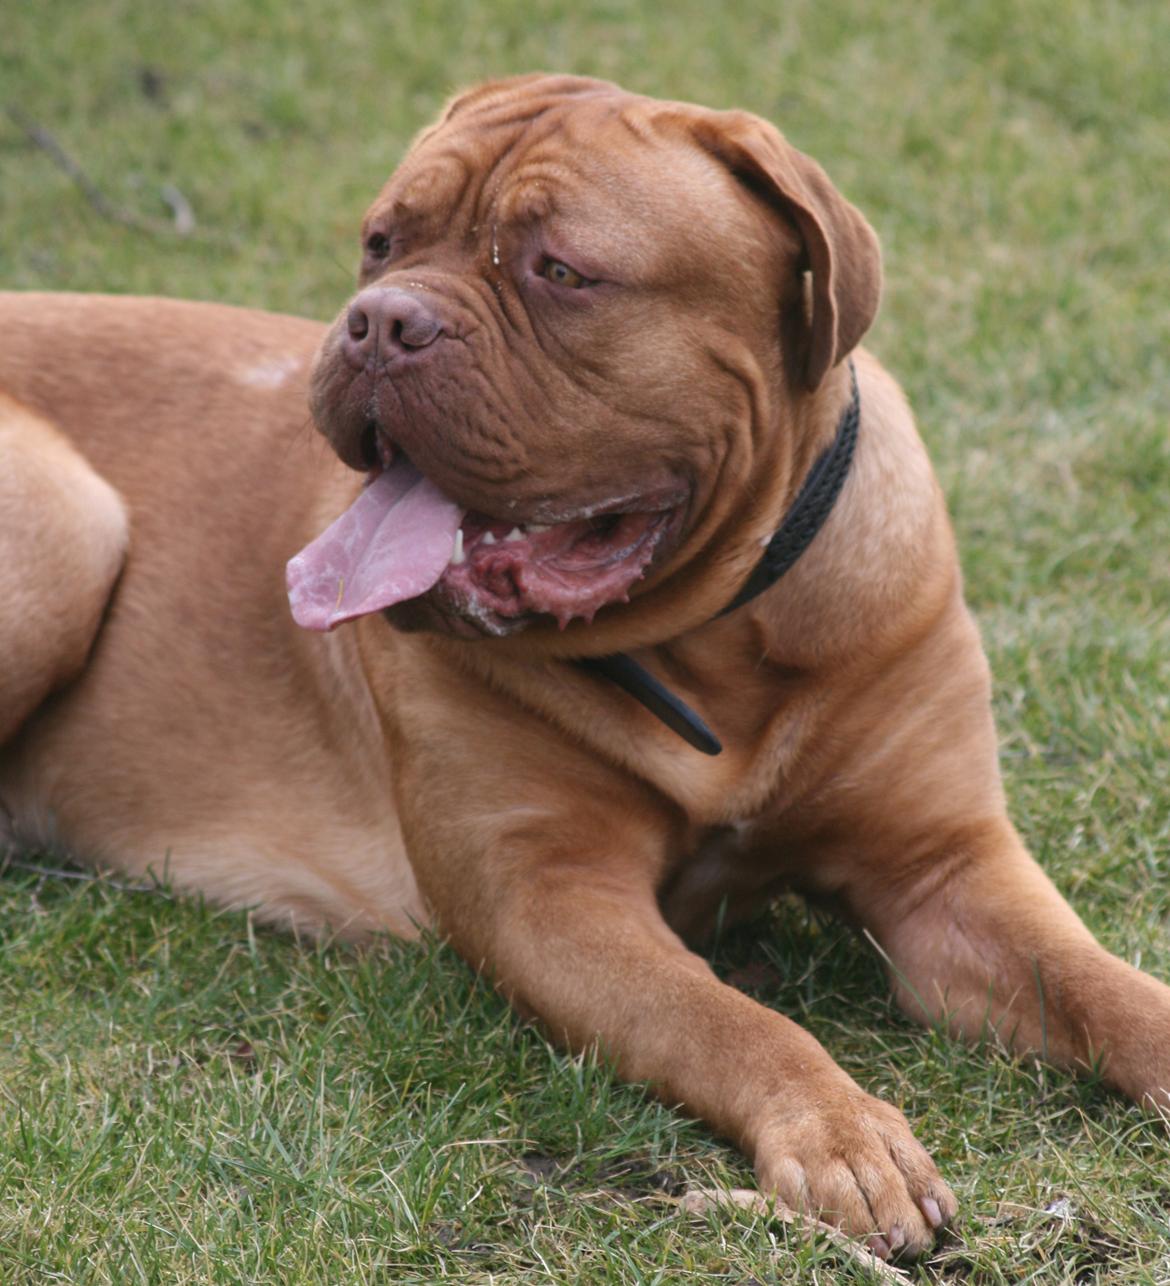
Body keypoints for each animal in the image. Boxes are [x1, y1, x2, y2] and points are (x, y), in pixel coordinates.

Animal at [2, 75, 1170, 1260]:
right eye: (381, 243)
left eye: (561, 272)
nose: (379, 321)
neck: (715, 648)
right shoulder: (547, 891)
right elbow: (722, 1015)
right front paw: (840, 1127)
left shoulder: (944, 865)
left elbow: (1096, 980)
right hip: (66, 519)